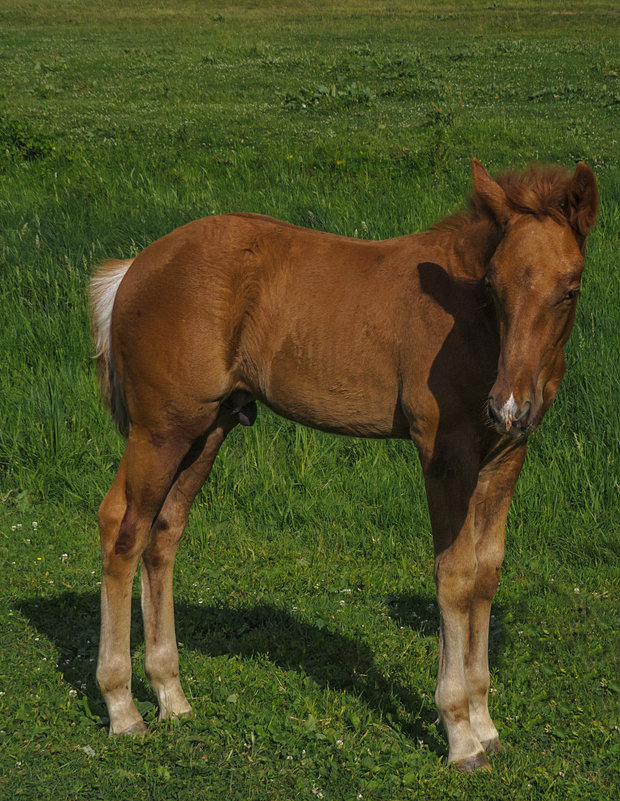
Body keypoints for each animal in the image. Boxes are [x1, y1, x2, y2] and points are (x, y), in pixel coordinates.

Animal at [89, 158, 600, 768]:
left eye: (569, 290)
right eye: (492, 287)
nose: (509, 405)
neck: (472, 329)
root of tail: (134, 267)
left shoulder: (504, 457)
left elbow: (486, 574)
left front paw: (485, 720)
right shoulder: (445, 452)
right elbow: (454, 575)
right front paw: (459, 733)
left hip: (205, 430)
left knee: (163, 533)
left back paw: (172, 695)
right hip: (160, 431)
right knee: (122, 528)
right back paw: (123, 709)